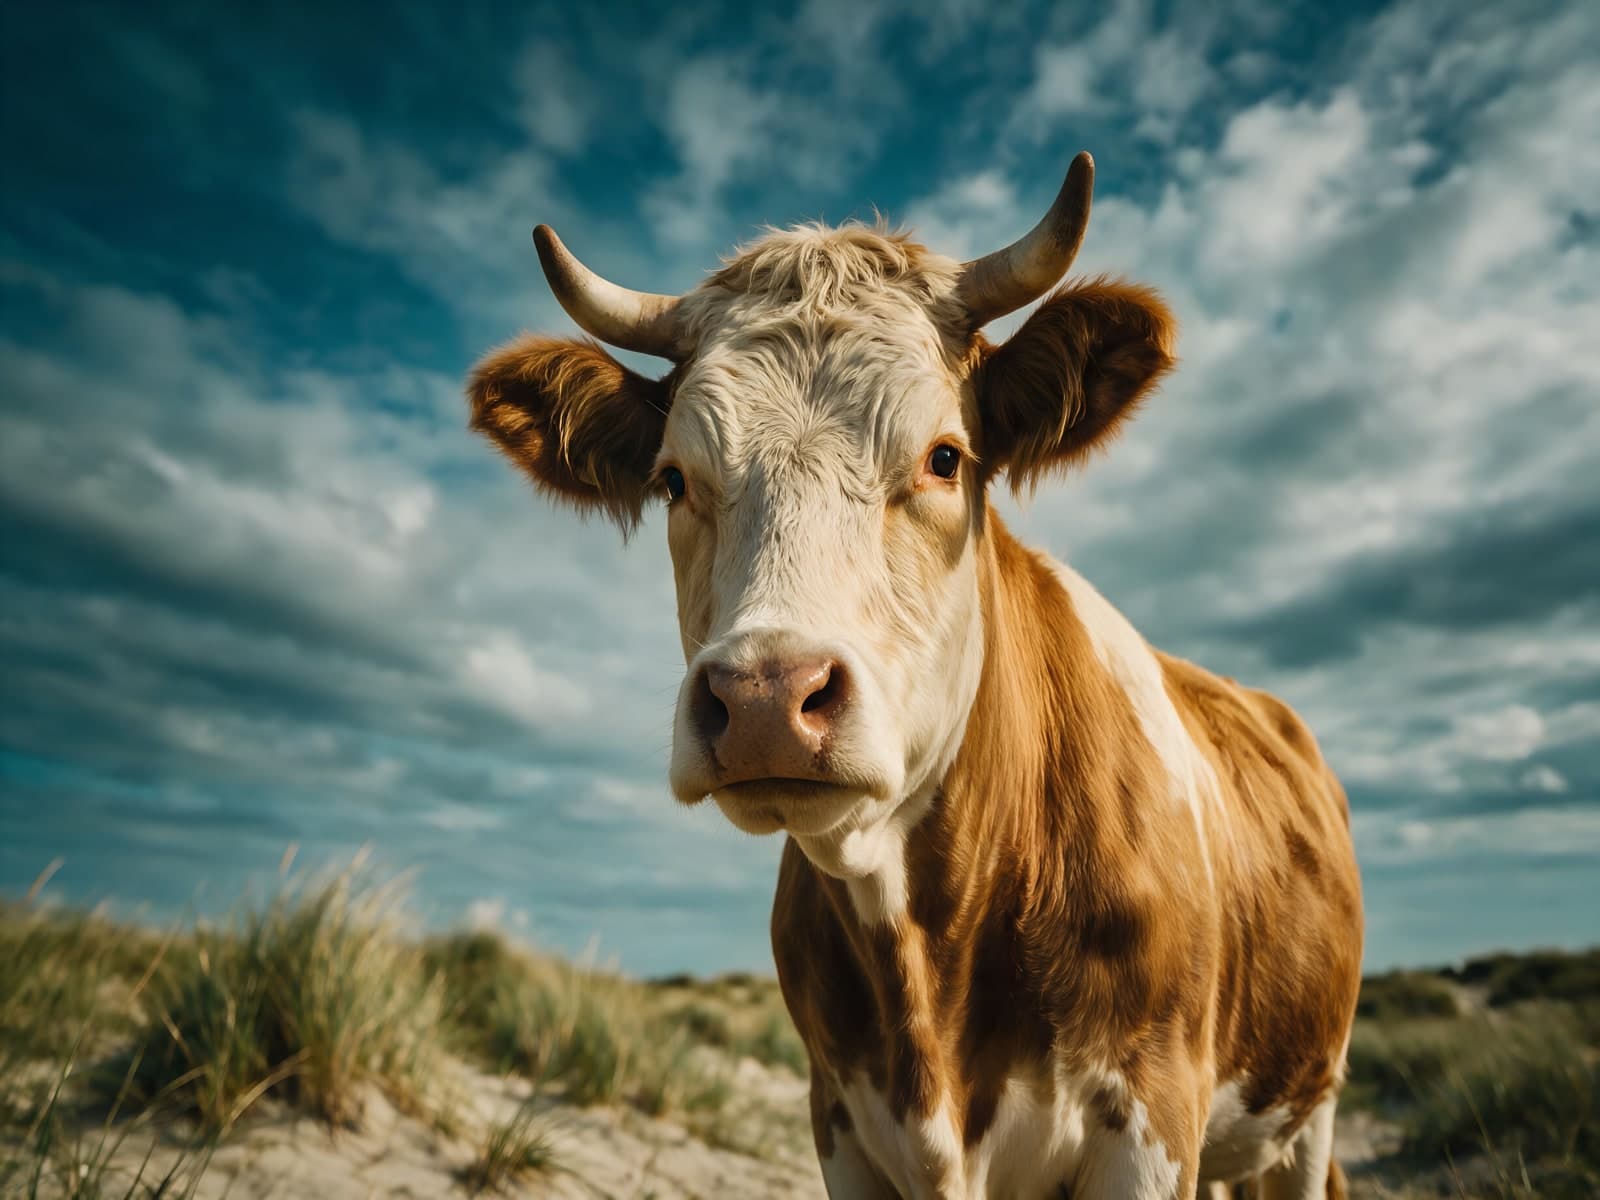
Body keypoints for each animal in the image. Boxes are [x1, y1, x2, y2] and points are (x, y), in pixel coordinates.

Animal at [466, 152, 1363, 1199]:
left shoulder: (1152, 1118)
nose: (765, 698)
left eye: (944, 457)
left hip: (1307, 1109)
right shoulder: (839, 1120)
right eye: (673, 479)